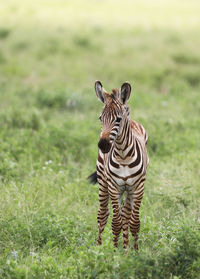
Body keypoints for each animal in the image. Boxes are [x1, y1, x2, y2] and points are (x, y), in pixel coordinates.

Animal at [88, 81, 148, 252]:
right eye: (100, 118)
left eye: (118, 119)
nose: (103, 145)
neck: (123, 155)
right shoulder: (114, 187)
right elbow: (116, 222)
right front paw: (114, 252)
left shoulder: (138, 187)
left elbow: (134, 222)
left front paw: (134, 251)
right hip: (103, 182)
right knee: (103, 215)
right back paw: (99, 247)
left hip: (129, 190)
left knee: (126, 215)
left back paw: (126, 247)